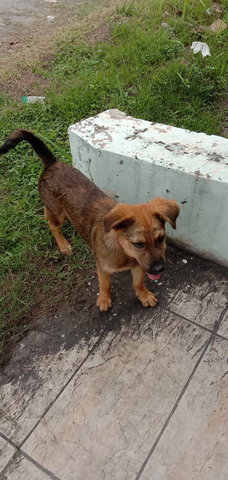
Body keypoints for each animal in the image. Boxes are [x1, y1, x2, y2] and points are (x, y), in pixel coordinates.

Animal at [0, 129, 180, 310]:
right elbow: (105, 284)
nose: (160, 269)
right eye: (138, 244)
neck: (122, 250)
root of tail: (52, 164)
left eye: (161, 238)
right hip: (60, 215)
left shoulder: (139, 266)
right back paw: (63, 245)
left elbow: (138, 283)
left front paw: (144, 295)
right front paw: (104, 299)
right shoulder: (103, 268)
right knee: (52, 224)